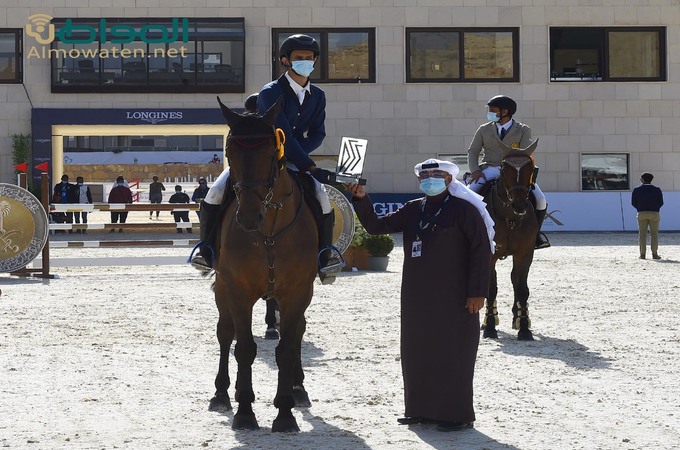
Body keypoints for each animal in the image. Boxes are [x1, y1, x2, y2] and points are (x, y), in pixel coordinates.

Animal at [209, 98, 318, 432]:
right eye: (230, 154)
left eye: (271, 154)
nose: (247, 217)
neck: (268, 230)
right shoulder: (238, 290)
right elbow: (244, 348)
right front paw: (245, 411)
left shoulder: (297, 292)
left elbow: (286, 348)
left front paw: (284, 412)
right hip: (222, 290)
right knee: (225, 333)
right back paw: (222, 394)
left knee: (297, 333)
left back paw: (298, 390)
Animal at [480, 141, 540, 342]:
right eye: (505, 169)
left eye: (530, 169)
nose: (520, 205)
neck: (509, 217)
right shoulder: (490, 255)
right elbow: (491, 289)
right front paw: (490, 326)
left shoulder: (525, 253)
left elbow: (522, 288)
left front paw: (524, 328)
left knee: (515, 279)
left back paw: (518, 317)